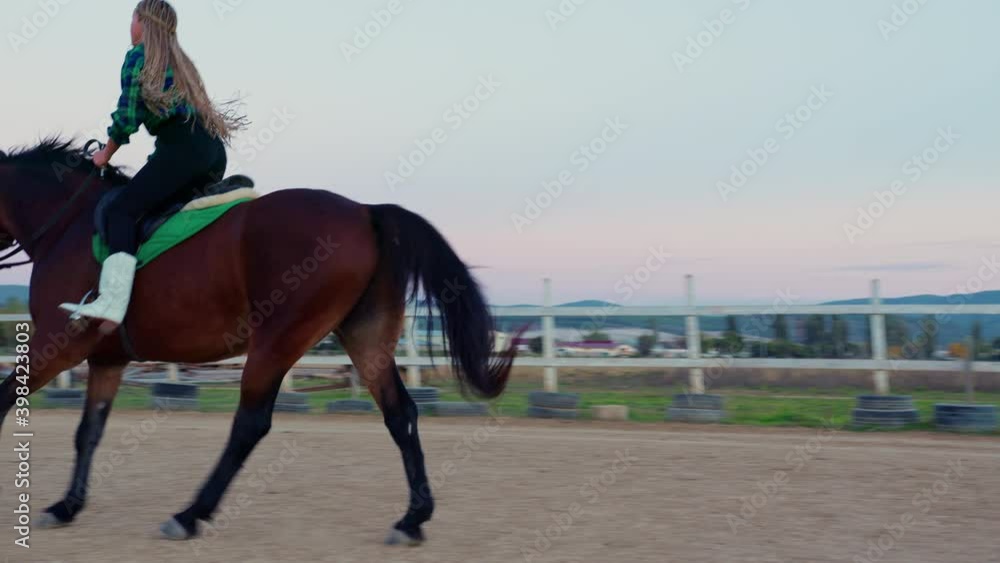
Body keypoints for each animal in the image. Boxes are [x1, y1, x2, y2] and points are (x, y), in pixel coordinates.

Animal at [0, 138, 516, 545]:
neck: (65, 225)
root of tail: (365, 212)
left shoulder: (57, 343)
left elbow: (6, 399)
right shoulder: (105, 360)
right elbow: (88, 431)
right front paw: (66, 505)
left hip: (277, 341)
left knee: (249, 425)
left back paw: (190, 514)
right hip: (363, 338)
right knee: (400, 414)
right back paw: (412, 518)